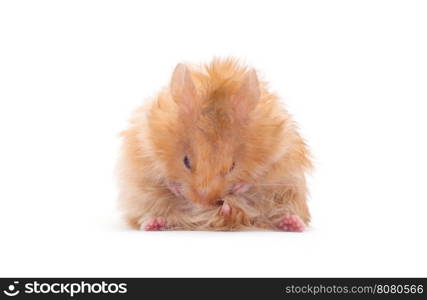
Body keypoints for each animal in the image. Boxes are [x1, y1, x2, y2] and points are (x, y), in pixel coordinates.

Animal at [118, 58, 312, 232]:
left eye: (232, 167)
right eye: (186, 161)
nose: (203, 202)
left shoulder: (281, 150)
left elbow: (259, 174)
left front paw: (240, 187)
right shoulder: (144, 142)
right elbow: (160, 171)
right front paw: (176, 189)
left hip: (290, 193)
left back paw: (290, 223)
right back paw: (154, 223)